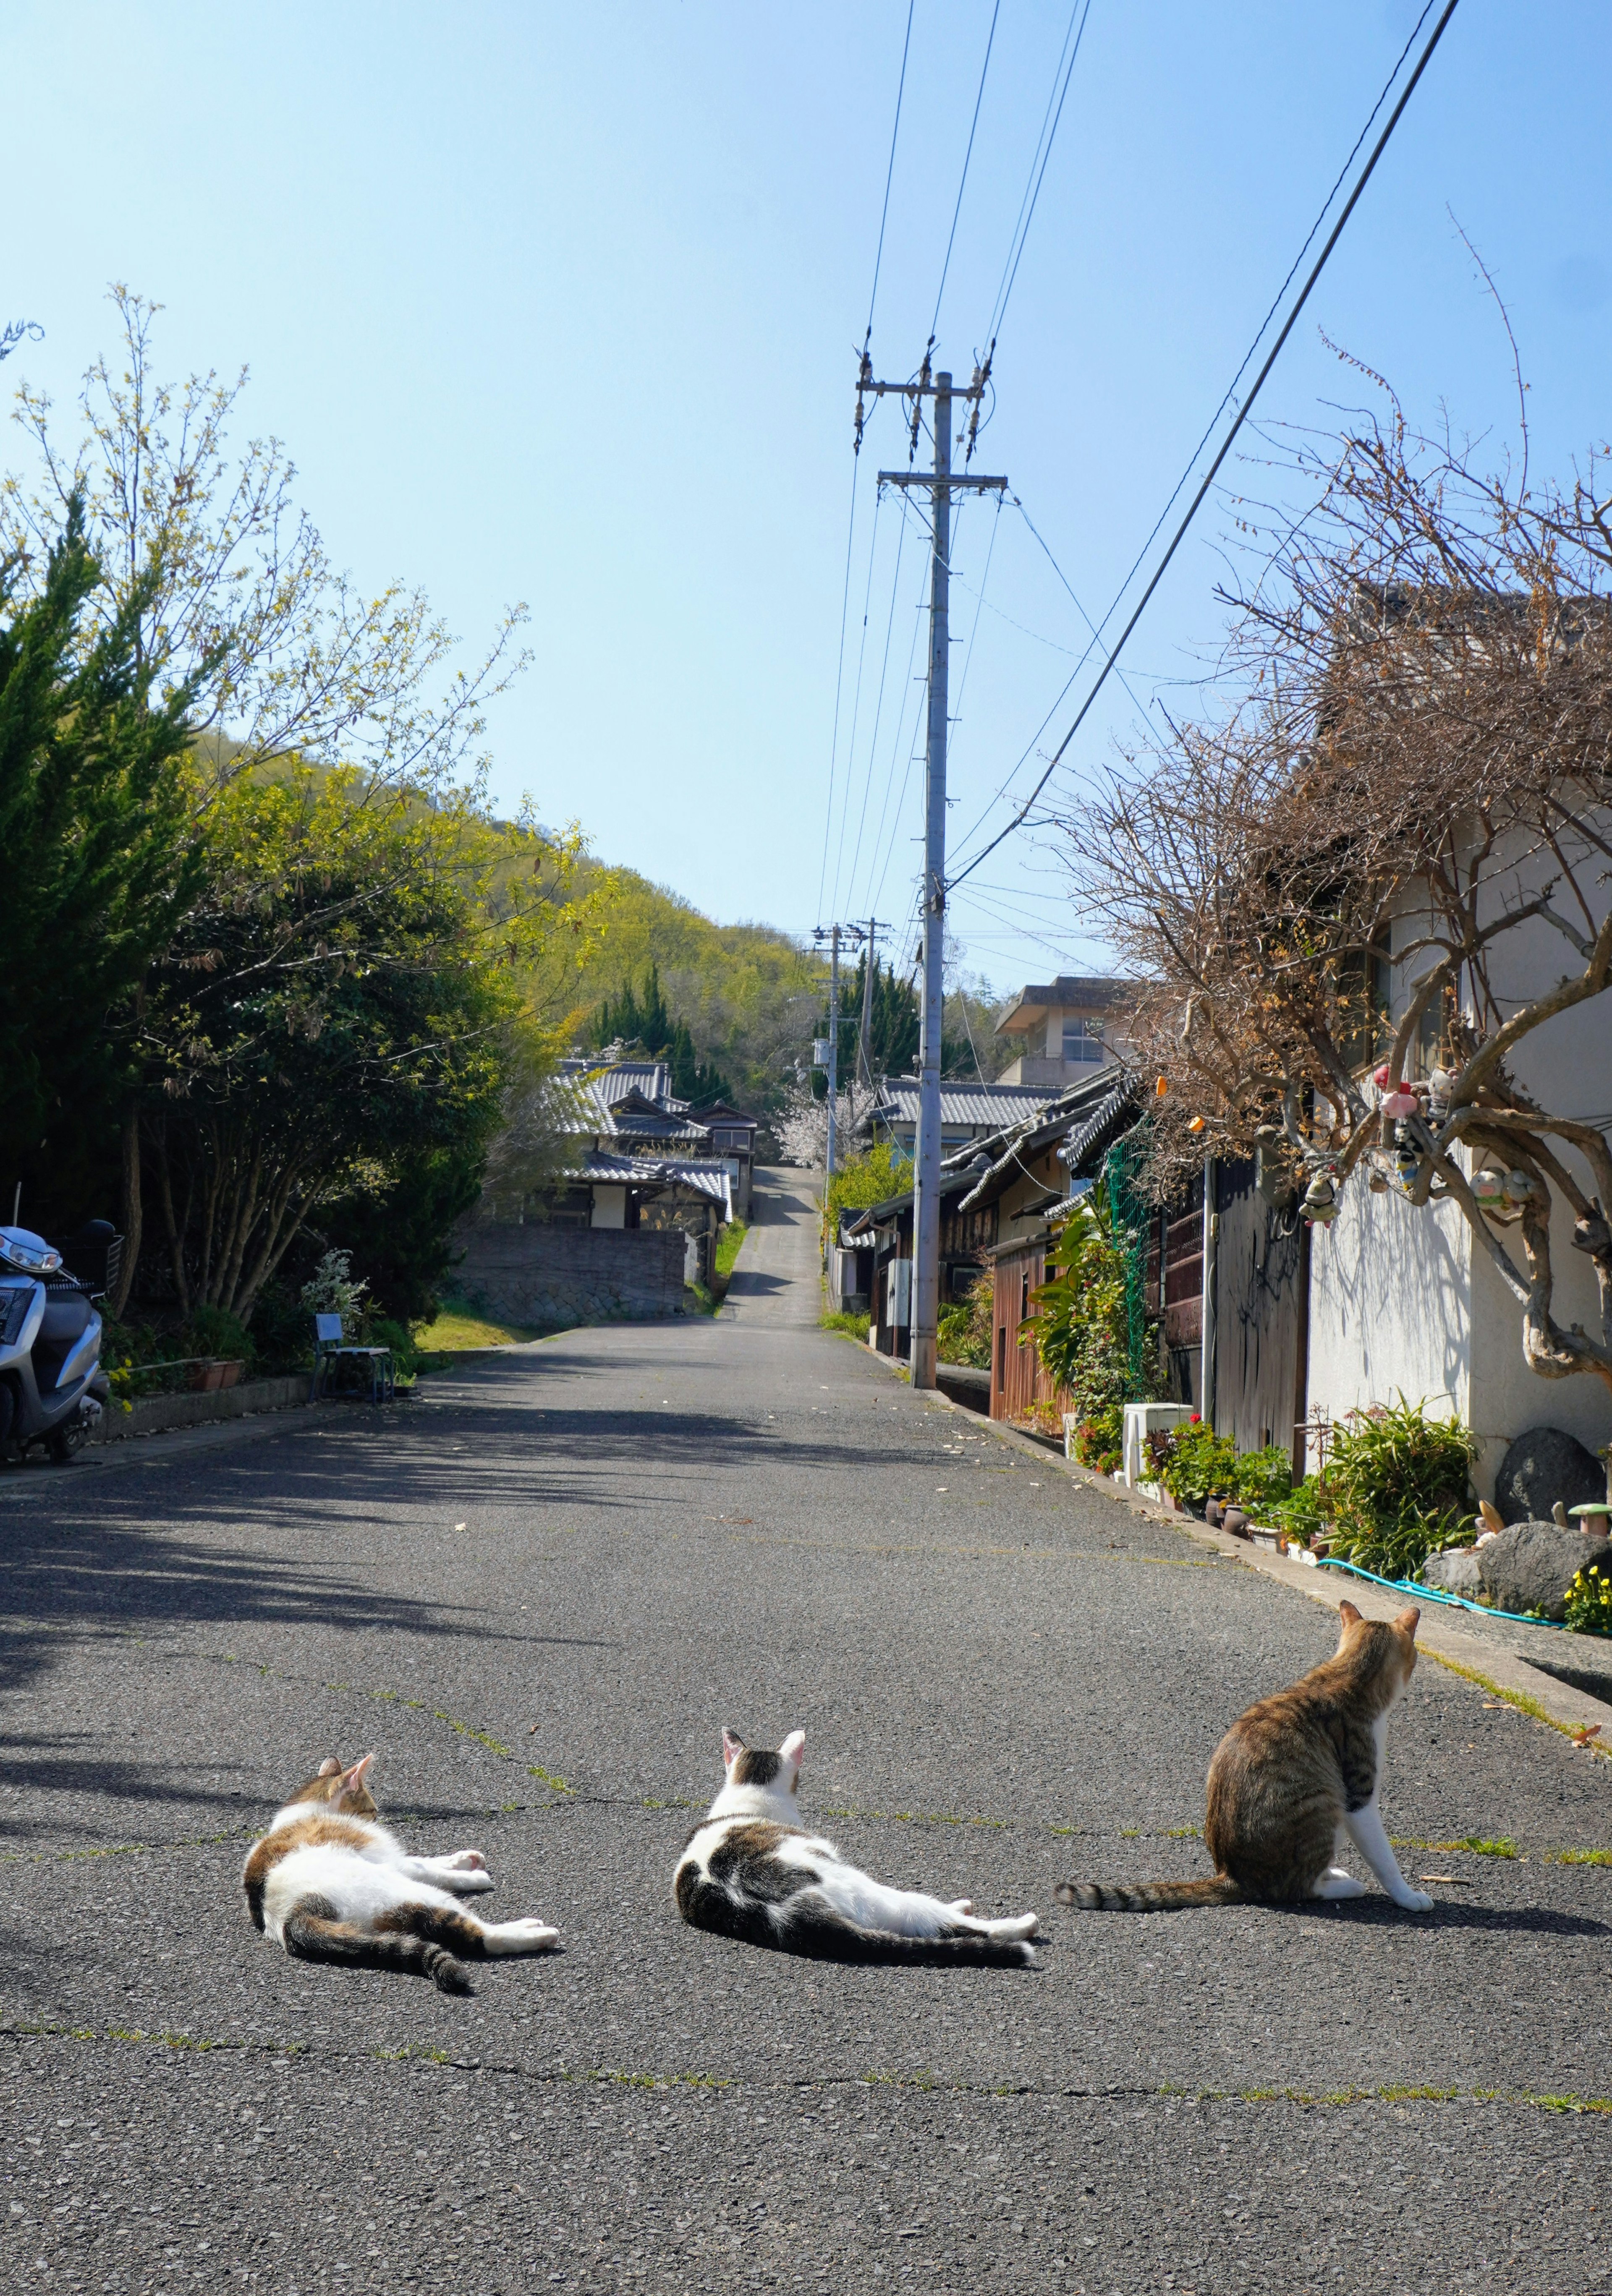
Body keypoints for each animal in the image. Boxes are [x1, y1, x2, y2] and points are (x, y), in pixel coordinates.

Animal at [243, 1754, 565, 1993]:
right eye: (371, 1811)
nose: (378, 1820)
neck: (306, 1813)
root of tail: (290, 1916)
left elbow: (425, 1860)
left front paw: (463, 1859)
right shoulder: (386, 1859)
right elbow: (425, 1867)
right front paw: (472, 1876)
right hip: (408, 1890)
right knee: (477, 1936)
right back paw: (535, 1931)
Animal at [1061, 1598, 1442, 1919]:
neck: (1348, 1674)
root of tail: (1231, 1874)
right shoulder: (1359, 1796)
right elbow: (1384, 1856)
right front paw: (1408, 1896)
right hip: (1323, 1802)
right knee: (1297, 1888)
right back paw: (1346, 1886)